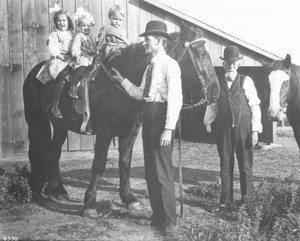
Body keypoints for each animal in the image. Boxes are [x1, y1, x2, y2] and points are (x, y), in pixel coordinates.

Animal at [22, 23, 220, 217]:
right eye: (201, 54)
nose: (215, 91)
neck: (117, 86)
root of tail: (33, 73)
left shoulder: (129, 132)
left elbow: (125, 163)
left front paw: (129, 199)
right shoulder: (105, 131)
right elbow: (99, 164)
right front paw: (90, 204)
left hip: (59, 125)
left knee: (54, 152)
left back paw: (58, 190)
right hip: (34, 120)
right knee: (35, 151)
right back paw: (36, 189)